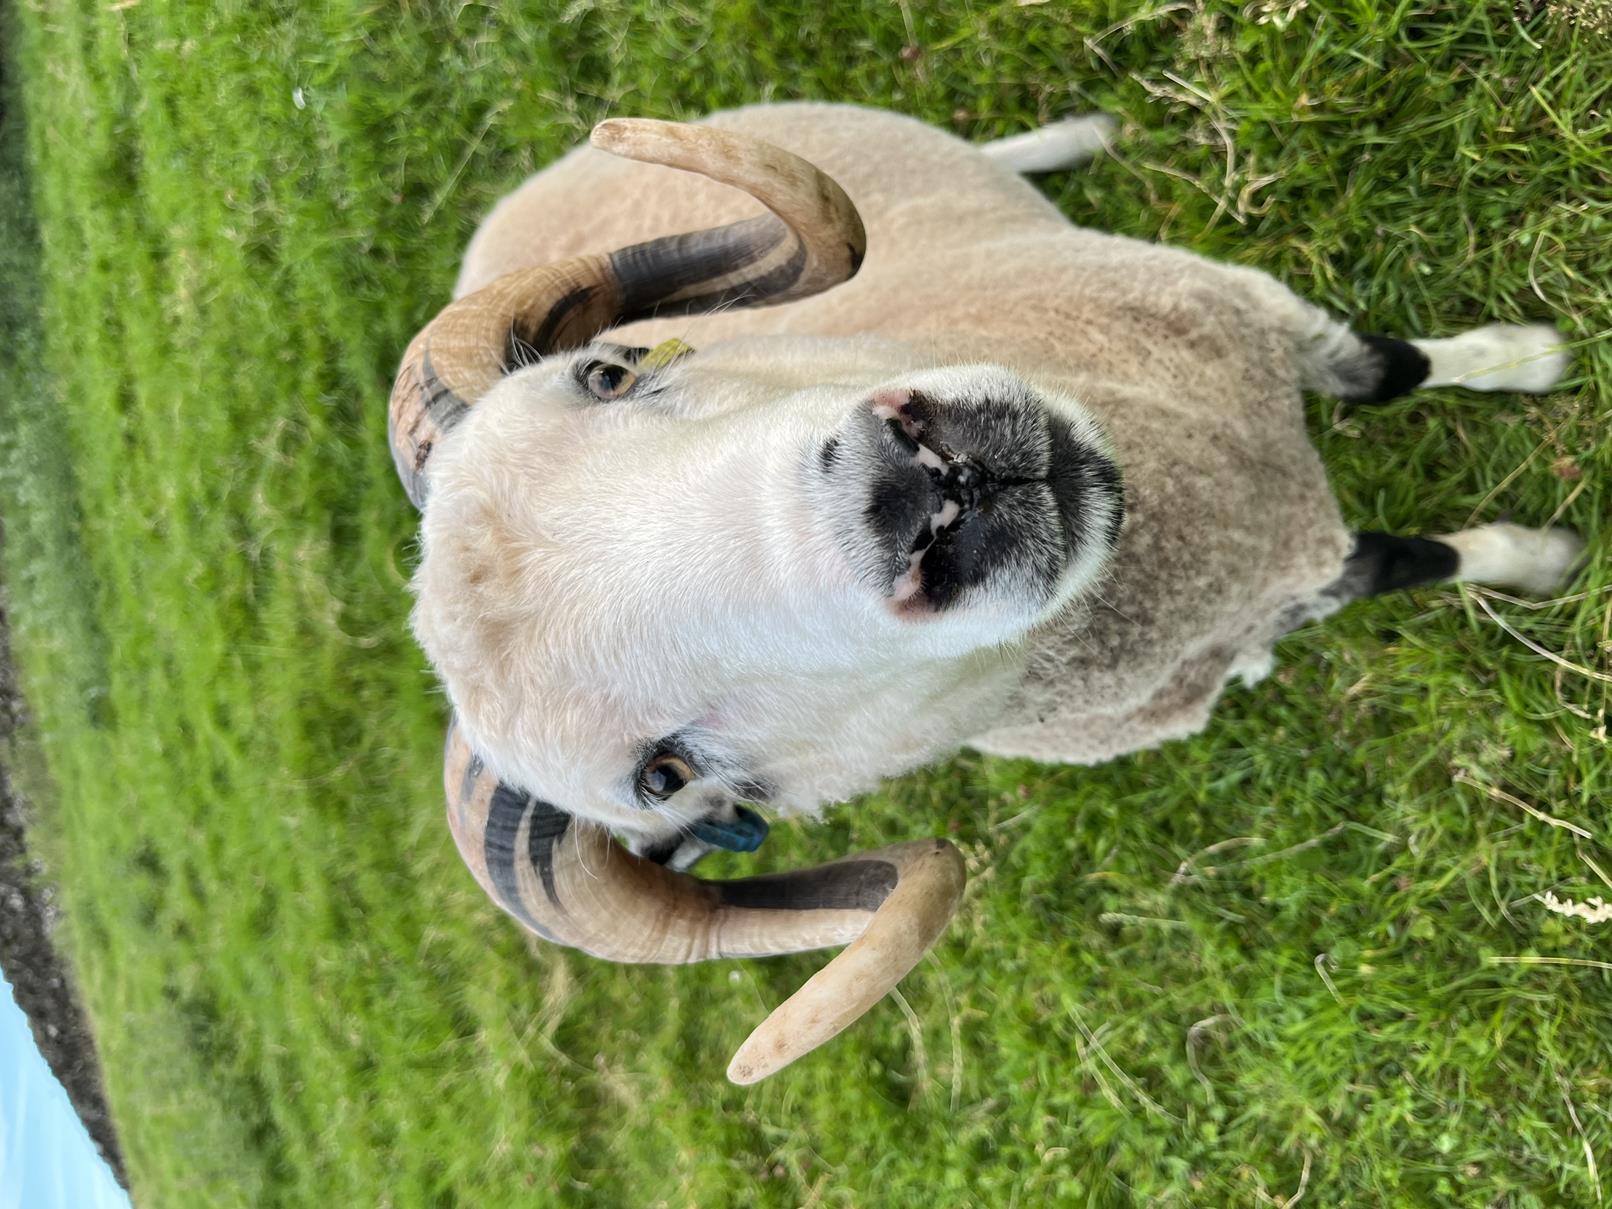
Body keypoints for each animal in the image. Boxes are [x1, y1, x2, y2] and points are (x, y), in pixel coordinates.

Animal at [391, 104, 1584, 1084]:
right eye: (669, 775)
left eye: (612, 372)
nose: (914, 488)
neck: (1208, 512)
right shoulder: (1287, 559)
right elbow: (1400, 560)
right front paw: (1539, 557)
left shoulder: (1251, 307)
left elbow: (1387, 368)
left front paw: (1527, 358)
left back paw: (1072, 139)